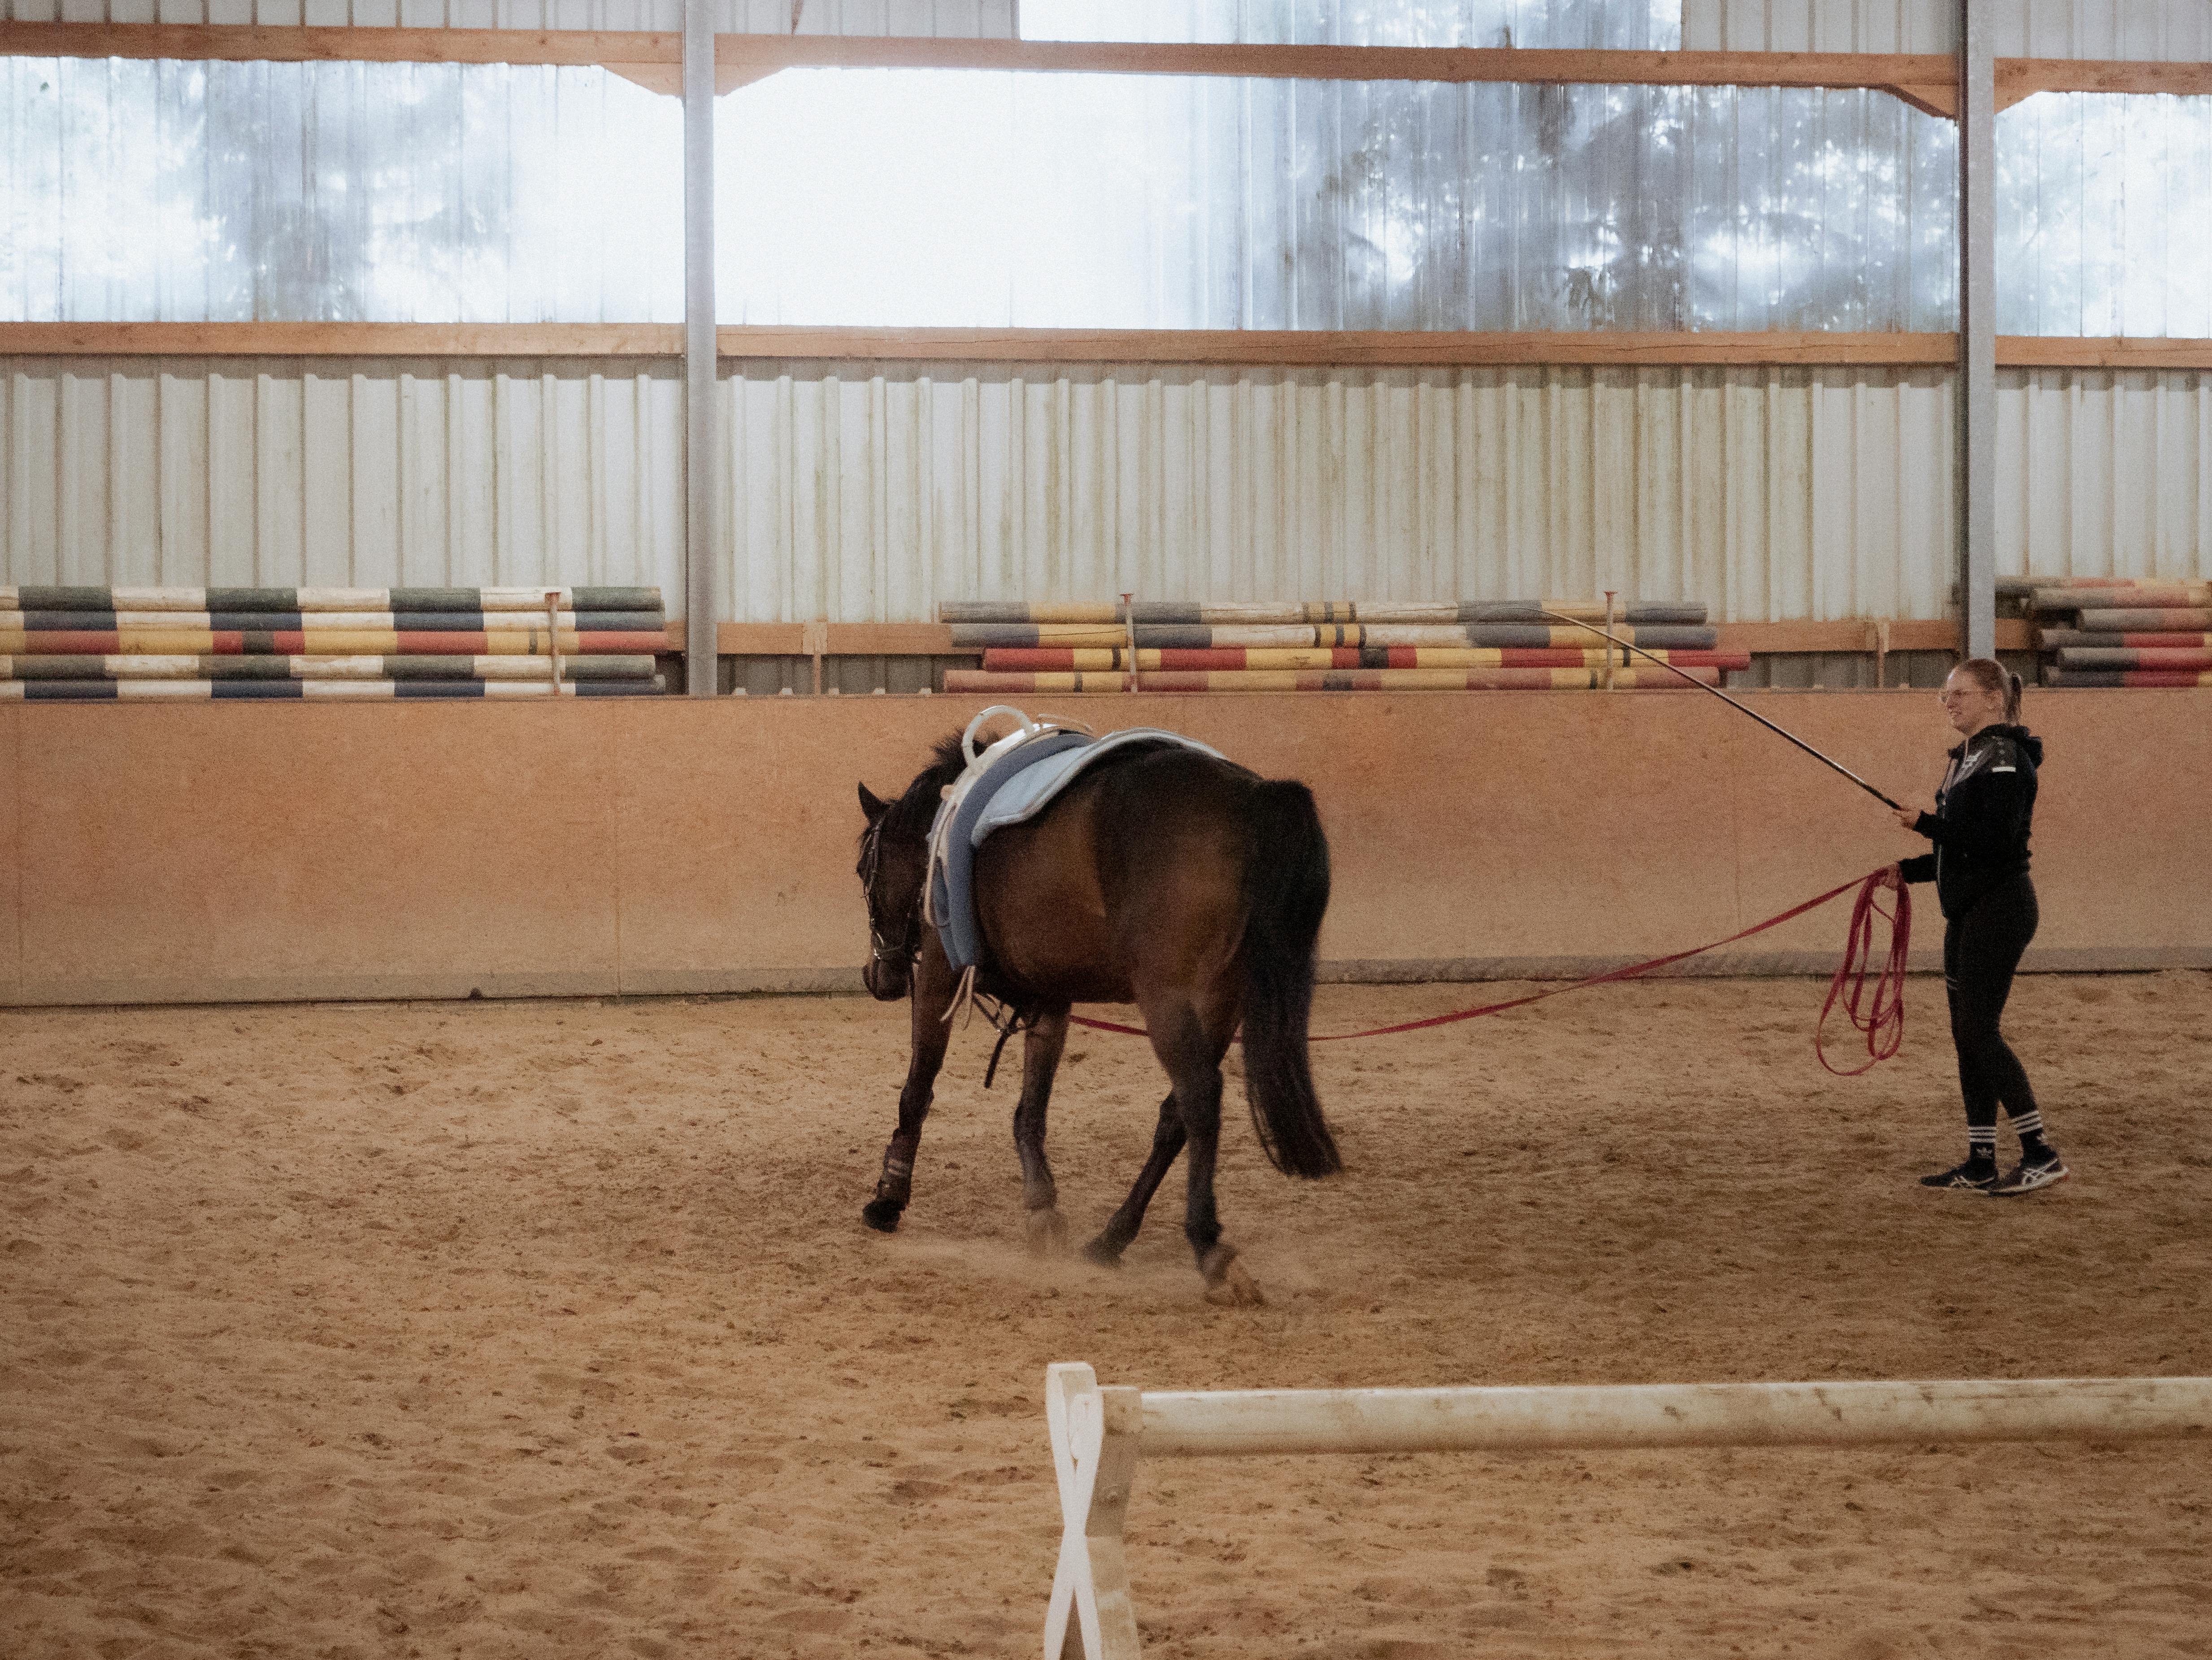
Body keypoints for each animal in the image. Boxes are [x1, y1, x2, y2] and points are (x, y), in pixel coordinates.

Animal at [852, 727, 1342, 1305]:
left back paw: (1208, 1245)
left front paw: (889, 1195)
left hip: (1168, 998)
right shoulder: (1049, 998)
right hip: (1221, 1004)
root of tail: (1251, 796)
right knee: (1174, 1116)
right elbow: (1029, 1112)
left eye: (864, 871)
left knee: (1199, 1097)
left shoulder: (937, 977)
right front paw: (1041, 1207)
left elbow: (917, 1090)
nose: (877, 976)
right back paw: (1112, 1237)